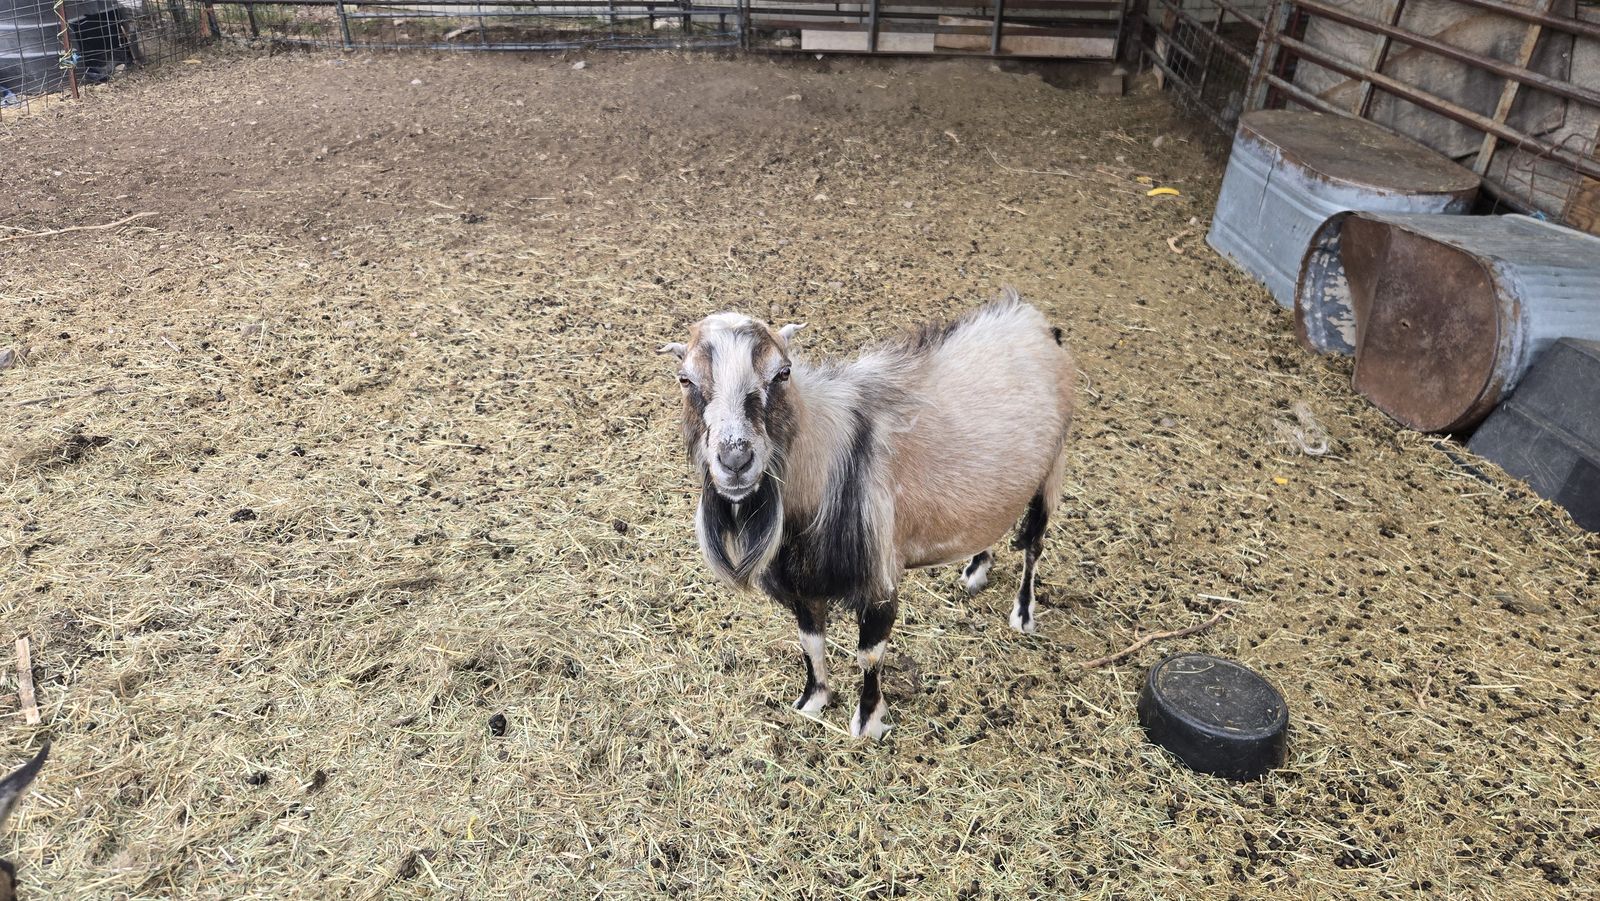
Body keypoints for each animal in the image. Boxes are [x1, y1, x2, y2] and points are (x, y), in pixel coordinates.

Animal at [660, 289, 1075, 739]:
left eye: (783, 373)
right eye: (685, 380)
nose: (736, 459)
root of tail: (1036, 322)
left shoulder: (879, 578)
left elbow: (870, 655)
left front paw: (868, 722)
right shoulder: (803, 582)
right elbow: (811, 642)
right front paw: (813, 700)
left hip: (1051, 471)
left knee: (1034, 546)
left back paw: (1023, 613)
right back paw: (975, 570)